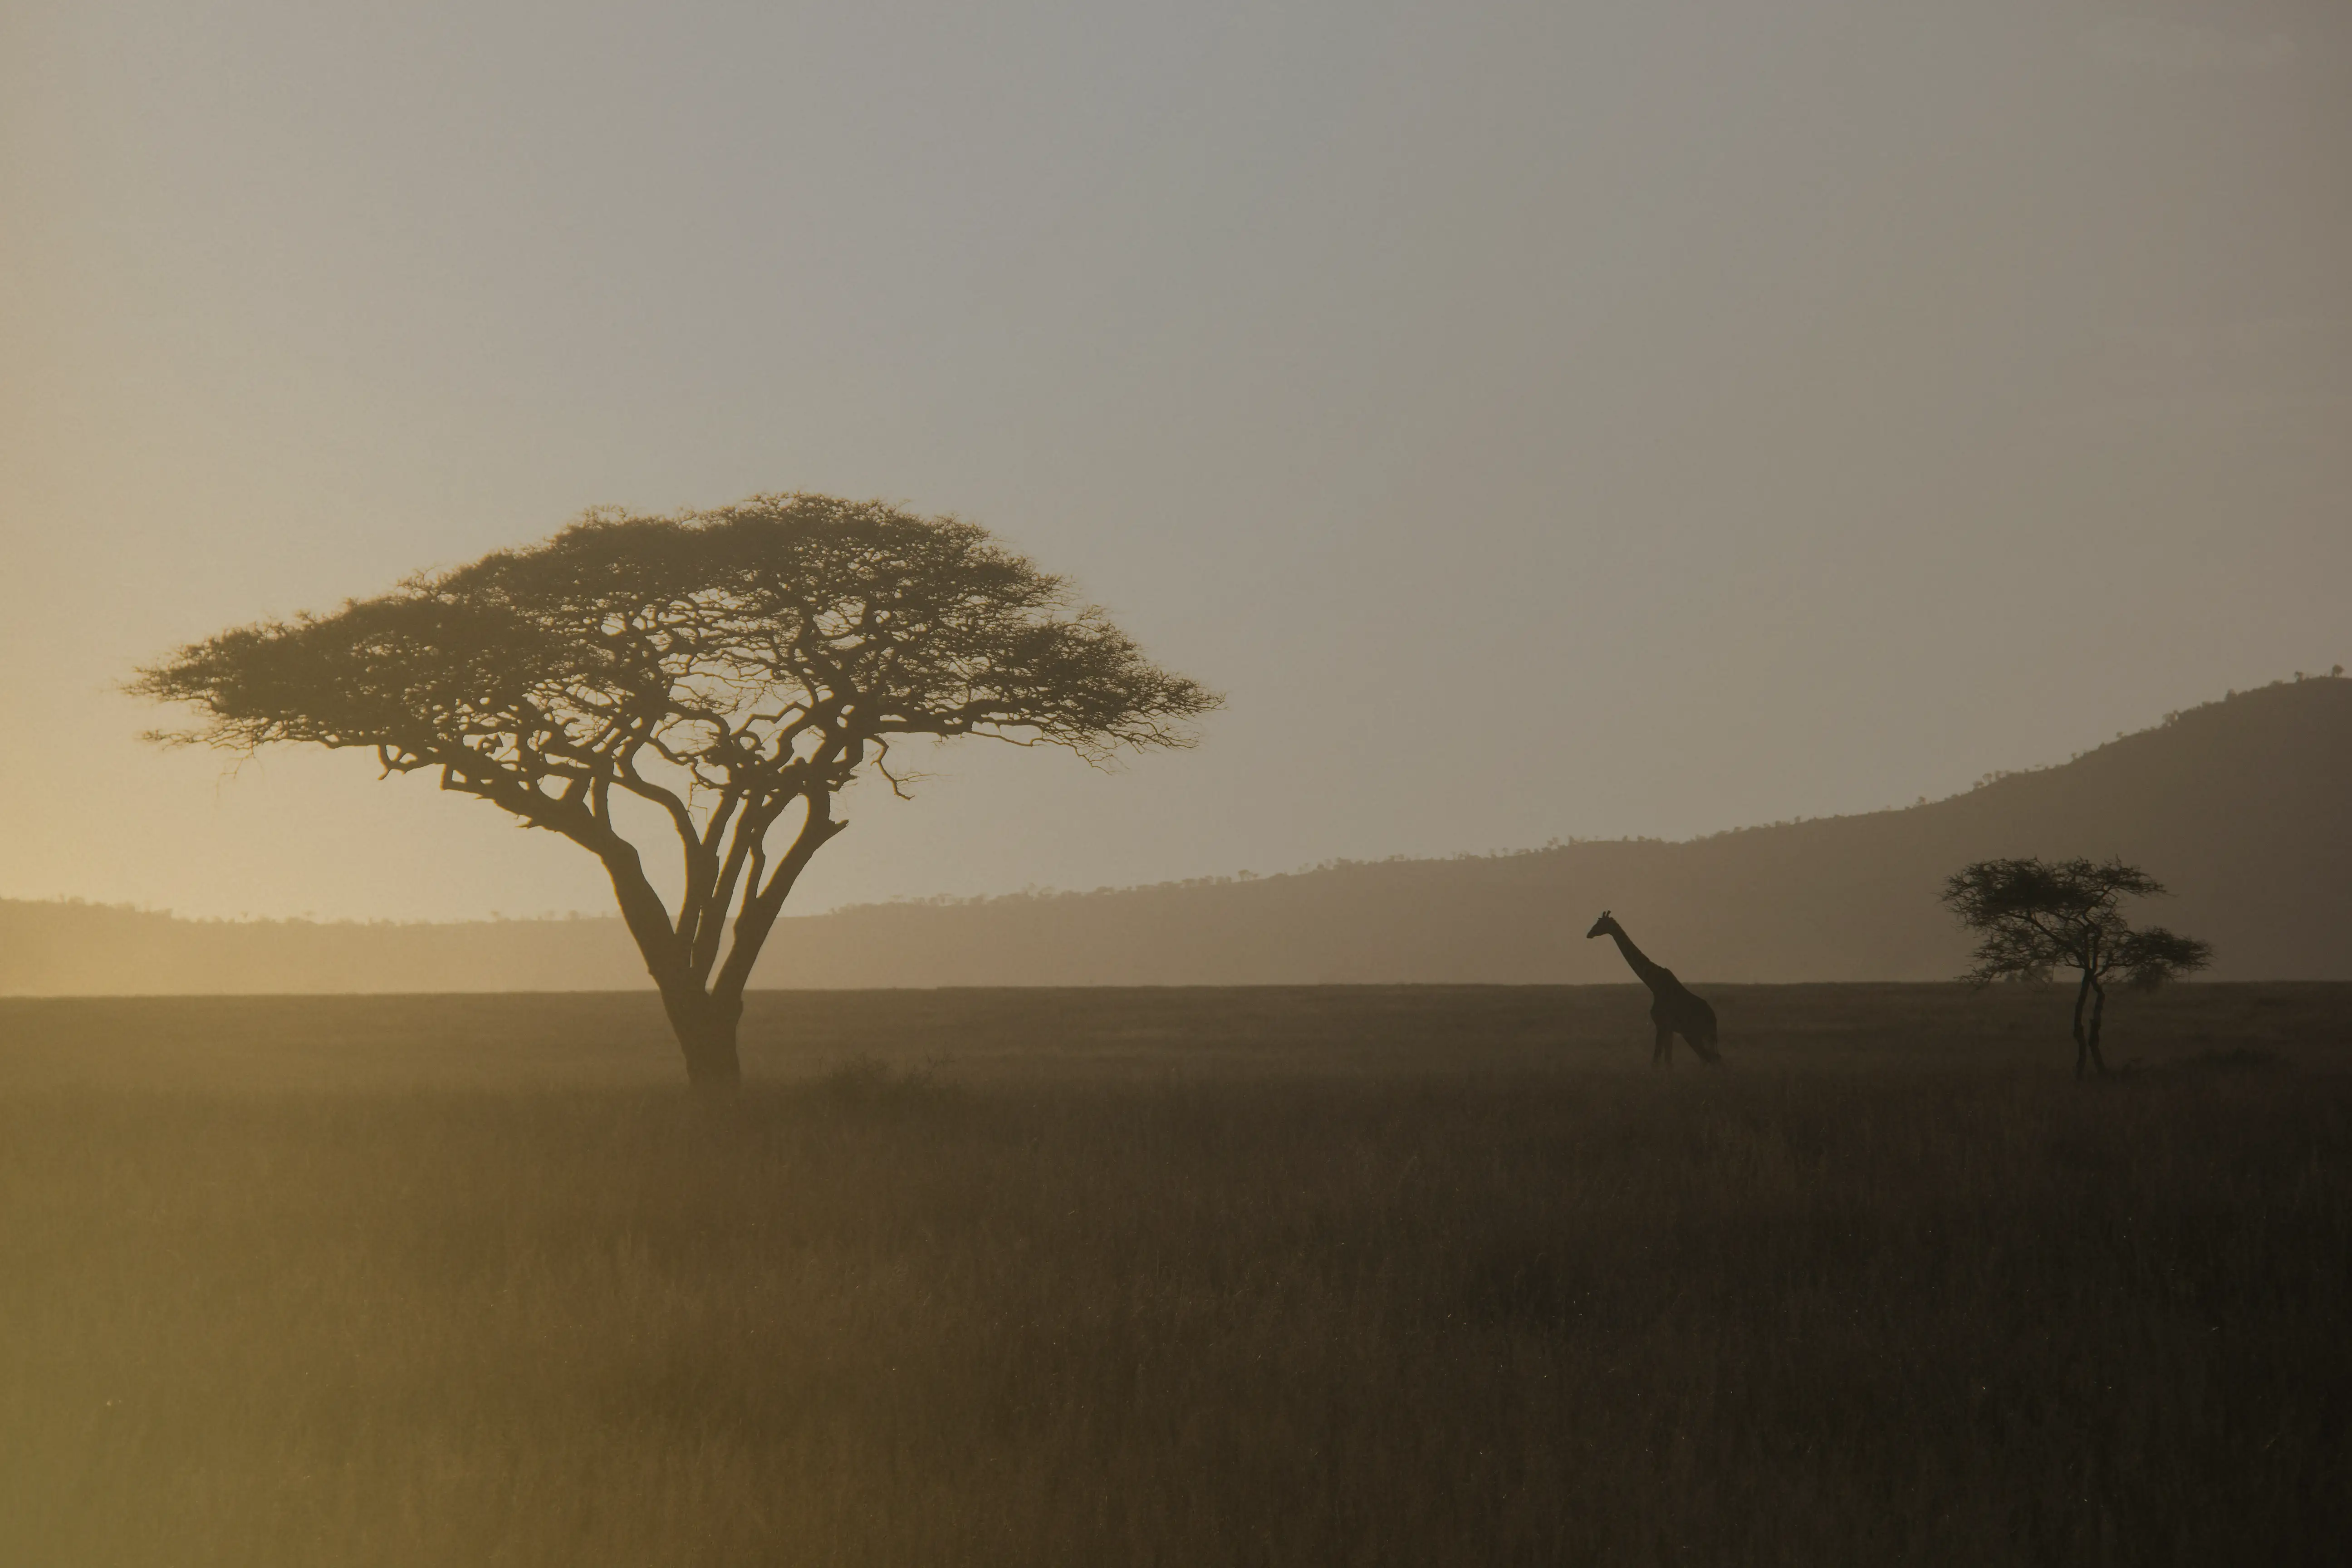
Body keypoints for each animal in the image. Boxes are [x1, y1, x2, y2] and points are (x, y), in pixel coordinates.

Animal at [1585, 911, 1722, 1066]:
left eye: (1601, 924)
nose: (1589, 934)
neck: (1654, 985)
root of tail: (1714, 1019)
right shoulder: (1668, 1029)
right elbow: (1666, 1062)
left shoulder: (1662, 1025)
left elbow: (1657, 1061)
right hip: (1697, 1036)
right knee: (1711, 1060)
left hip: (1696, 1035)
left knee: (1712, 1060)